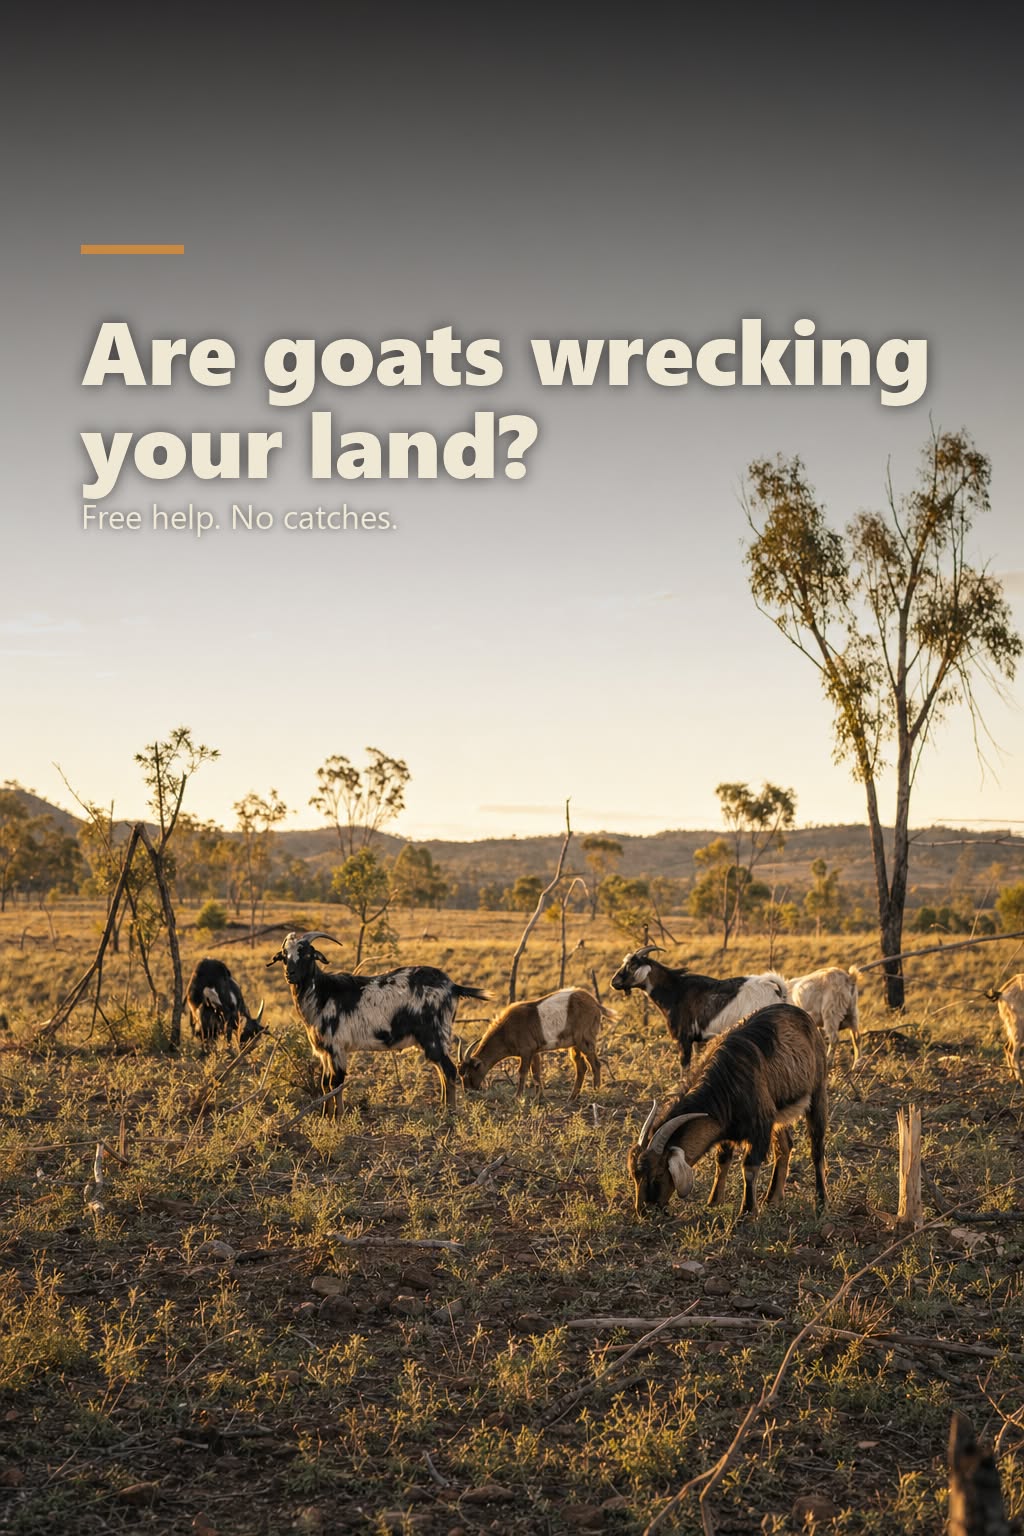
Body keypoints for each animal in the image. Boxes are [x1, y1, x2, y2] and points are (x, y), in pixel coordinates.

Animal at [267, 931, 487, 1111]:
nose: (290, 974)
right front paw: (325, 1119)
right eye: (284, 956)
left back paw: (449, 1114)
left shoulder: (337, 1047)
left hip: (435, 1035)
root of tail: (453, 986)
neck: (323, 993)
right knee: (441, 1071)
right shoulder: (325, 1051)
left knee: (448, 1071)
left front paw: (338, 1120)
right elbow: (325, 1084)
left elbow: (335, 1084)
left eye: (306, 954)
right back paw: (443, 1109)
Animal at [457, 987, 604, 1099]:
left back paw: (596, 1092)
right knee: (581, 1067)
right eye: (460, 1074)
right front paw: (539, 1097)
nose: (468, 1093)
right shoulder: (534, 1051)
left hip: (584, 1040)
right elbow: (536, 1072)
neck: (506, 1029)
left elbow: (522, 1072)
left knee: (595, 1064)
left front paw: (517, 1097)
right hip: (575, 1045)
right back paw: (572, 1097)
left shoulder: (526, 1051)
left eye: (468, 1074)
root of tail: (594, 1003)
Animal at [610, 945, 789, 1066]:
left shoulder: (684, 1038)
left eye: (633, 965)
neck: (676, 990)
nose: (614, 982)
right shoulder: (698, 1041)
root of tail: (778, 992)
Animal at [628, 1002, 828, 1218]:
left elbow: (749, 1168)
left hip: (817, 1093)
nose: (644, 1211)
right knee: (784, 1147)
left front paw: (747, 1213)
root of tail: (799, 1012)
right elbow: (722, 1161)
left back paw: (821, 1202)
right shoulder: (727, 1128)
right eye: (635, 1175)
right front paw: (713, 1202)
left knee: (816, 1148)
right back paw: (772, 1198)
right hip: (778, 1114)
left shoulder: (760, 1126)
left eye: (658, 1173)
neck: (723, 1084)